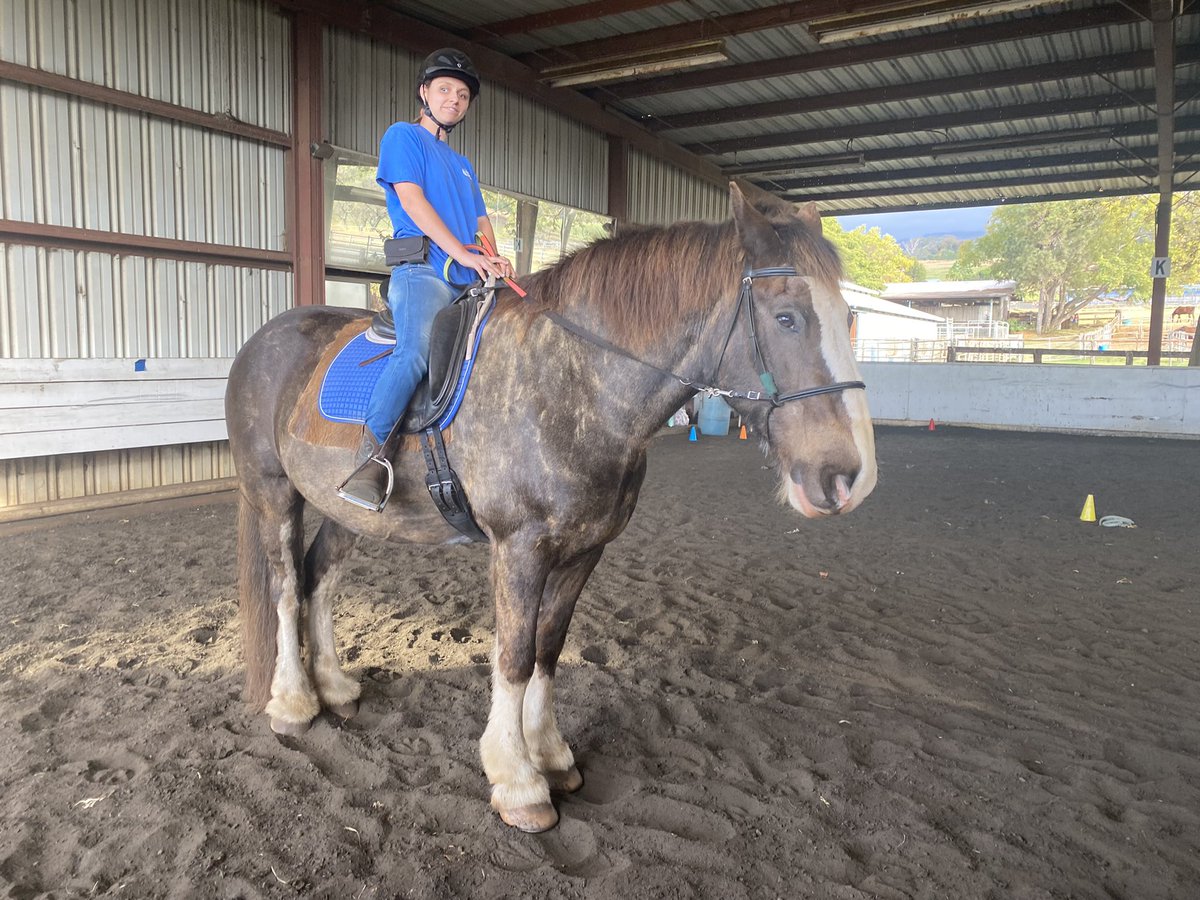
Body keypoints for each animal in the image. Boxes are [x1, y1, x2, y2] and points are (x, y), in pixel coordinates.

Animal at [224, 183, 878, 832]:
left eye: (848, 318)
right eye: (787, 317)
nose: (848, 477)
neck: (574, 383)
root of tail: (261, 341)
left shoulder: (583, 550)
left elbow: (548, 649)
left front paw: (552, 756)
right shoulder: (520, 549)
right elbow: (513, 656)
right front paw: (517, 780)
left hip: (347, 511)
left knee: (320, 579)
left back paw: (334, 686)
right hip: (273, 492)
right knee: (286, 587)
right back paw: (293, 703)